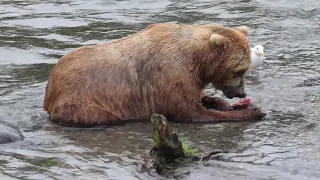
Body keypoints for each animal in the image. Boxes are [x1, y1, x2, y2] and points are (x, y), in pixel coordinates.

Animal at [43, 22, 266, 126]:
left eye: (245, 70)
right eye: (239, 70)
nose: (240, 93)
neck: (199, 59)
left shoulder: (187, 76)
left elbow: (197, 98)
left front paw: (222, 103)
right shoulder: (170, 74)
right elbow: (190, 111)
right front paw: (251, 111)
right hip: (83, 100)